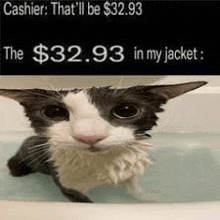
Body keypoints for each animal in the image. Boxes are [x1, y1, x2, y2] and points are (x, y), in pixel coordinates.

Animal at [0, 81, 207, 203]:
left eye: (126, 110)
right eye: (54, 112)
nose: (90, 136)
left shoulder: (130, 171)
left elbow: (135, 187)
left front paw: (150, 197)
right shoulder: (68, 185)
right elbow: (86, 202)